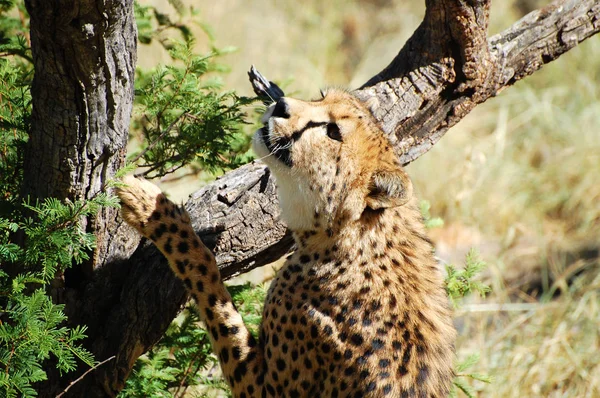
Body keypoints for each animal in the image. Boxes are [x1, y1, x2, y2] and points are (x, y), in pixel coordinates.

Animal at [118, 88, 454, 396]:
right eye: (322, 95)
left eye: (333, 132)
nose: (281, 104)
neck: (352, 235)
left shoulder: (265, 388)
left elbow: (212, 289)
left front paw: (152, 208)